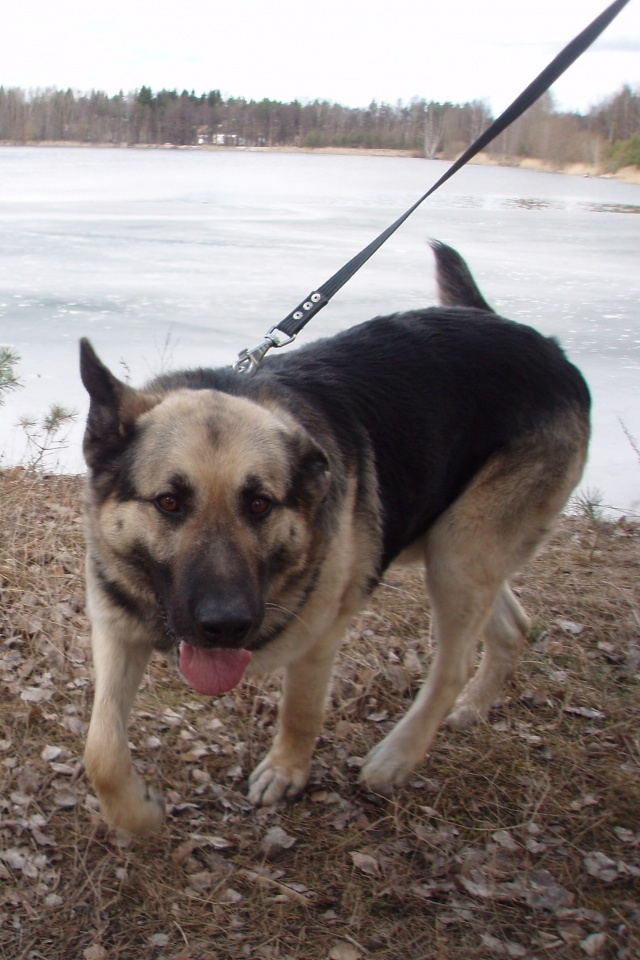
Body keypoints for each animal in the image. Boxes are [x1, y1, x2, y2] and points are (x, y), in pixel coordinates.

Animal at [80, 241, 590, 834]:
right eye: (168, 503)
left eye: (259, 504)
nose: (224, 625)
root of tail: (539, 341)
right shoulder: (117, 630)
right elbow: (101, 749)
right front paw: (136, 815)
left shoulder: (319, 641)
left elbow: (300, 711)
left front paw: (287, 771)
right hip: (447, 543)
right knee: (513, 626)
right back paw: (474, 706)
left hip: (461, 550)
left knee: (455, 662)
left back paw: (397, 757)